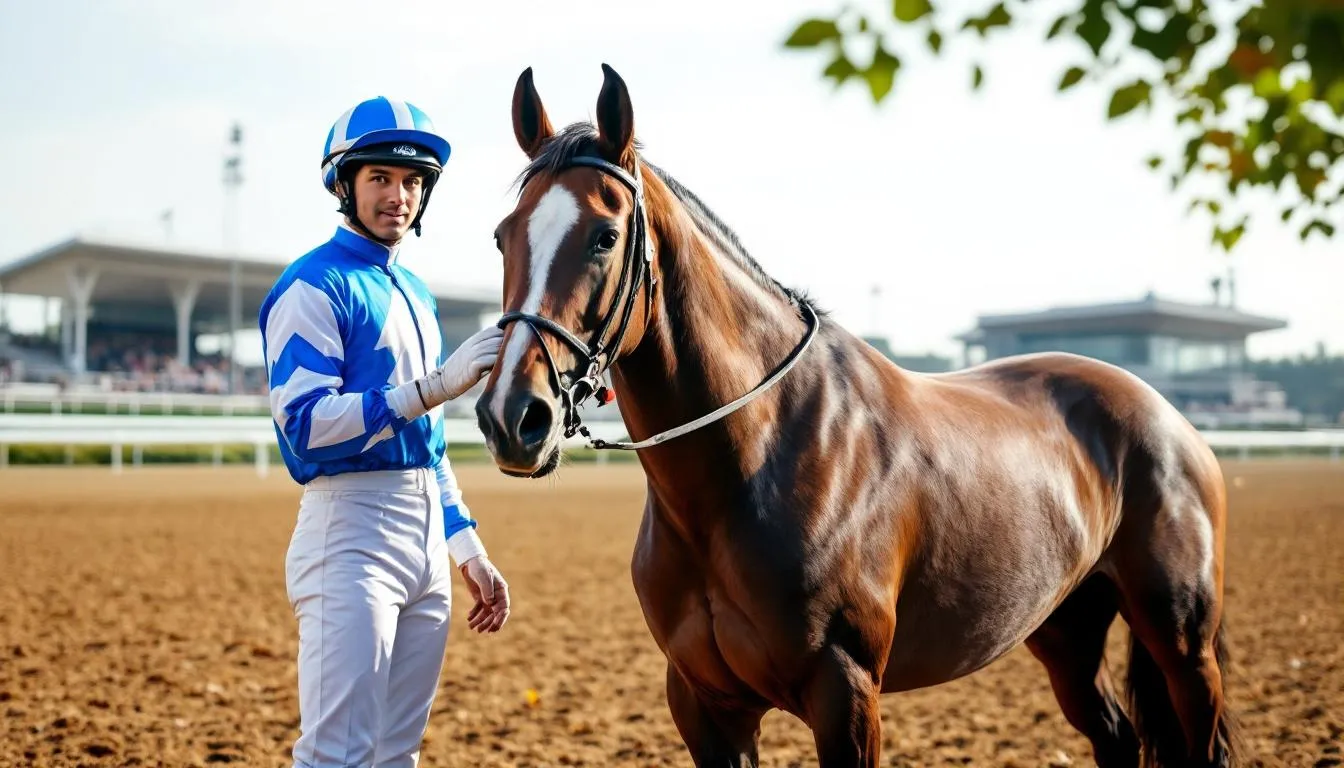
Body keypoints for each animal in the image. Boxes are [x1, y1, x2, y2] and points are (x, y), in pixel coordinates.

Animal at [473, 63, 1243, 768]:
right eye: (503, 235)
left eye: (604, 237)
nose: (515, 418)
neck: (755, 461)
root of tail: (1168, 418)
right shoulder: (704, 703)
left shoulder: (844, 692)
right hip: (1067, 633)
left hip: (1182, 645)